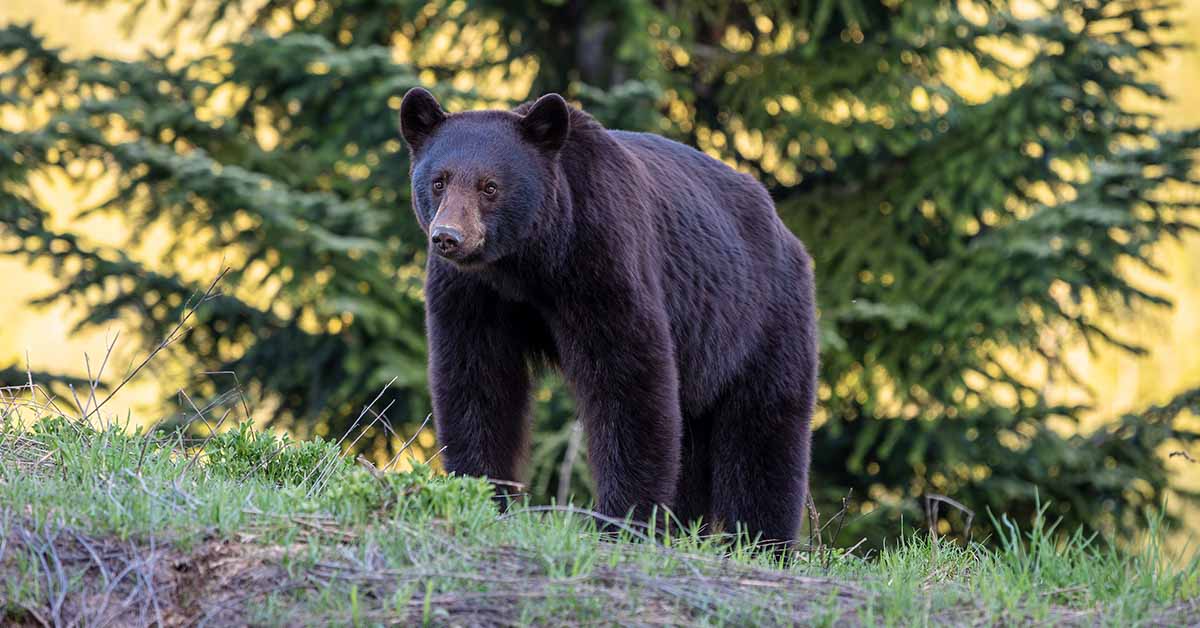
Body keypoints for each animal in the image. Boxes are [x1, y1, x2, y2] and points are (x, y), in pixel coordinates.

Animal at [399, 88, 818, 543]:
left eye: (490, 186)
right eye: (439, 181)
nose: (448, 237)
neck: (526, 264)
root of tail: (787, 233)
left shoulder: (601, 259)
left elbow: (627, 381)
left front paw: (624, 519)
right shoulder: (472, 295)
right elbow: (477, 382)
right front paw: (482, 493)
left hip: (761, 319)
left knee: (764, 430)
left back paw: (763, 540)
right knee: (692, 439)